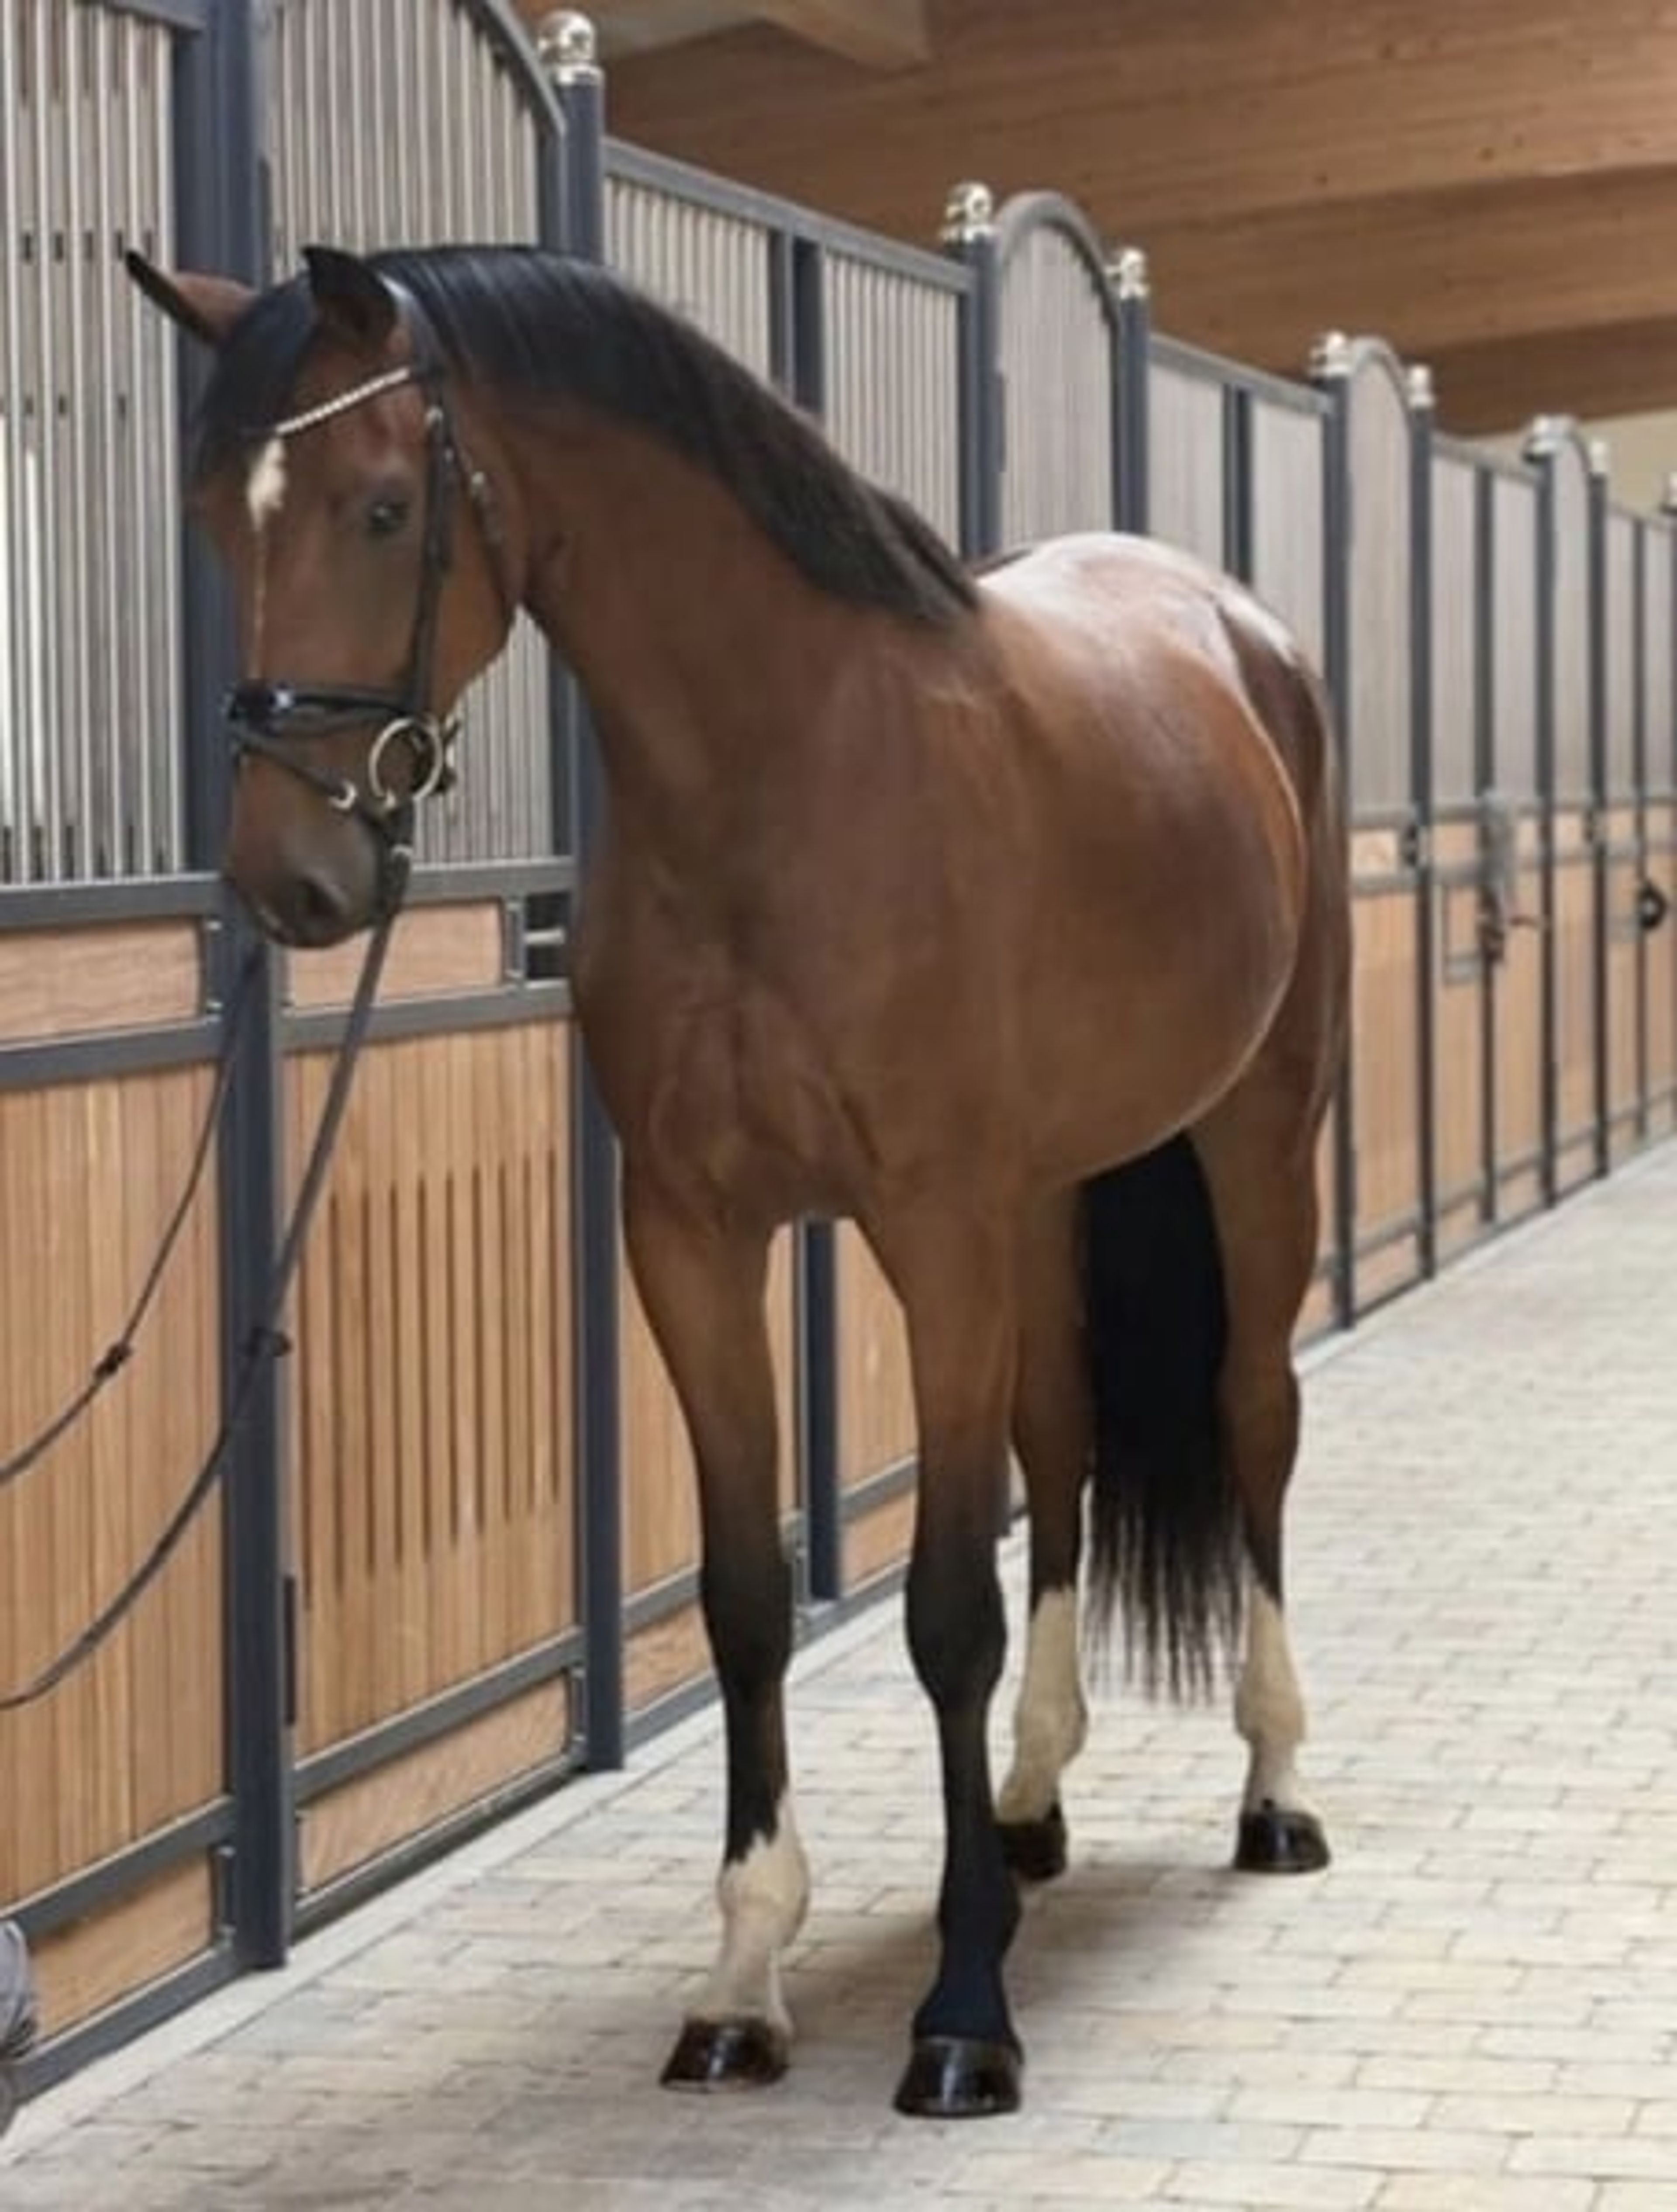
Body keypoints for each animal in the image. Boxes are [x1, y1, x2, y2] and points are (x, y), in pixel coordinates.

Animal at [129, 241, 1349, 2121]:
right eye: (209, 516)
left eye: (385, 506)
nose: (294, 878)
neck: (792, 779)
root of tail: (1236, 634)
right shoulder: (693, 1239)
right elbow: (747, 1603)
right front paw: (743, 1983)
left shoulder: (929, 1230)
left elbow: (940, 1610)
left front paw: (963, 2015)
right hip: (1049, 1195)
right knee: (1064, 1448)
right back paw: (1027, 1807)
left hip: (1256, 1134)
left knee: (1256, 1415)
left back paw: (1275, 1793)